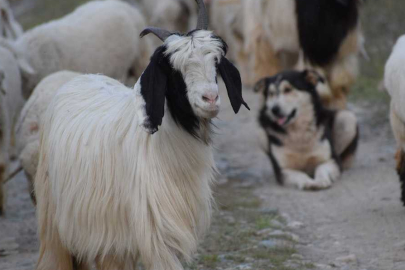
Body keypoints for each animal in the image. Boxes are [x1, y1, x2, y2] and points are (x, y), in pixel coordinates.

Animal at [34, 0, 248, 270]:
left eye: (216, 62)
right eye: (174, 69)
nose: (210, 98)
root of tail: (80, 78)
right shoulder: (156, 230)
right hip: (53, 215)